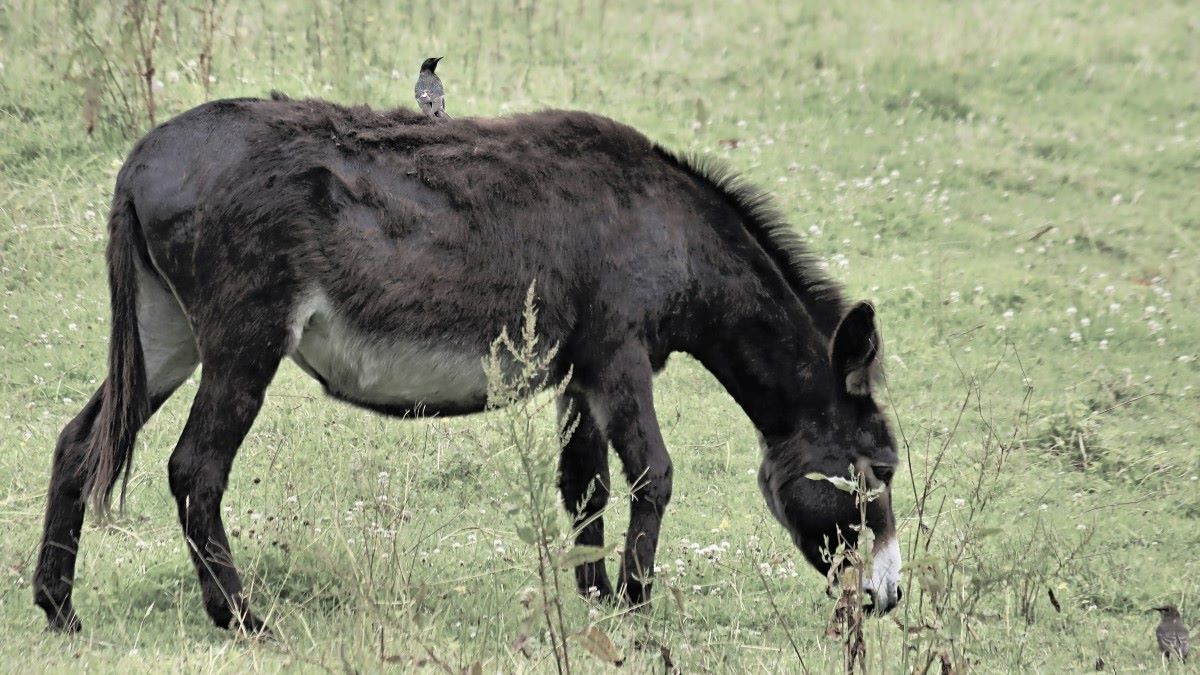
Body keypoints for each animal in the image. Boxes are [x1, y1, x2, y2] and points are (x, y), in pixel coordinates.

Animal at [33, 97, 902, 633]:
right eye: (879, 470)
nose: (888, 597)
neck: (670, 232)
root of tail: (140, 161)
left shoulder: (582, 372)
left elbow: (584, 482)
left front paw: (593, 598)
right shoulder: (620, 355)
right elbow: (653, 474)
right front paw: (635, 603)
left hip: (167, 334)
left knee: (79, 441)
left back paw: (59, 610)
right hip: (243, 338)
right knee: (195, 467)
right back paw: (243, 620)